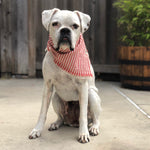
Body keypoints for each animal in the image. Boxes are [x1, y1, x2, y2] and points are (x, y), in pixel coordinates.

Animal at [28, 8, 101, 144]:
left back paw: (93, 128)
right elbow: (42, 112)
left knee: (95, 118)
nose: (65, 30)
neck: (64, 53)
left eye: (75, 26)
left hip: (91, 95)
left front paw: (83, 134)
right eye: (55, 24)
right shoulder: (48, 86)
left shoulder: (83, 87)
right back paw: (56, 124)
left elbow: (83, 115)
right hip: (56, 97)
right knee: (61, 117)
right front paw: (37, 130)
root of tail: (72, 122)